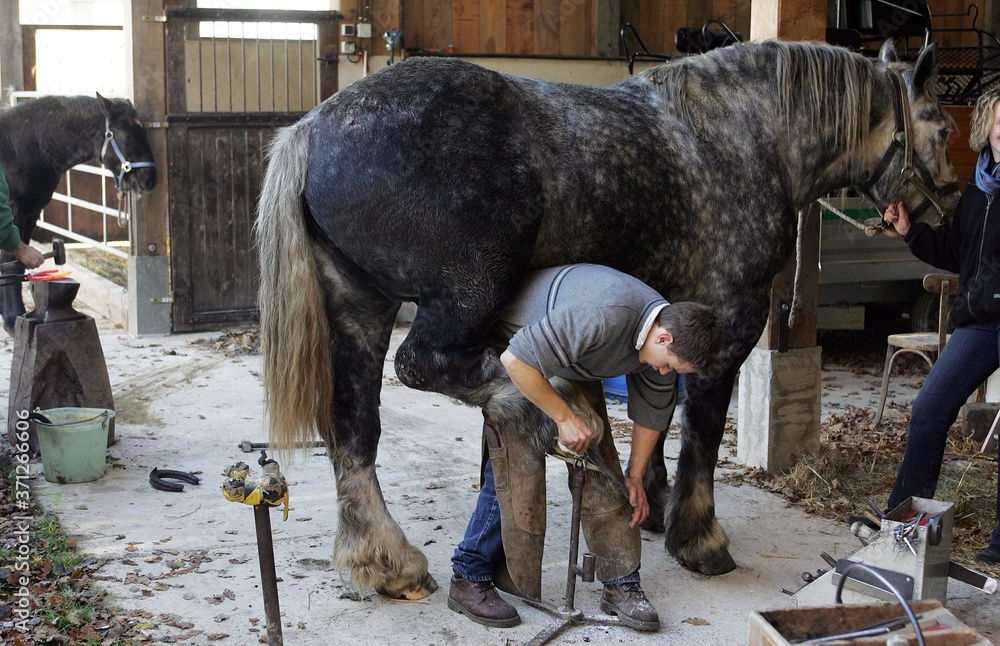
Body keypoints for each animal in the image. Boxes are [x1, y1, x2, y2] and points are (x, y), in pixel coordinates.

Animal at [0, 93, 156, 332]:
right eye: (129, 135)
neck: (30, 143)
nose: (150, 180)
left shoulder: (31, 213)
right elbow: (11, 260)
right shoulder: (15, 211)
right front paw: (11, 318)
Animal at [256, 41, 960, 604]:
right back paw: (545, 414)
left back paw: (381, 562)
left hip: (360, 309)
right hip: (461, 293)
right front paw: (698, 539)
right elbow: (702, 432)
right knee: (428, 364)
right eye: (938, 122)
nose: (948, 208)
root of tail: (312, 129)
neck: (746, 136)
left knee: (354, 428)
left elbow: (660, 413)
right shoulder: (729, 321)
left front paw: (647, 502)